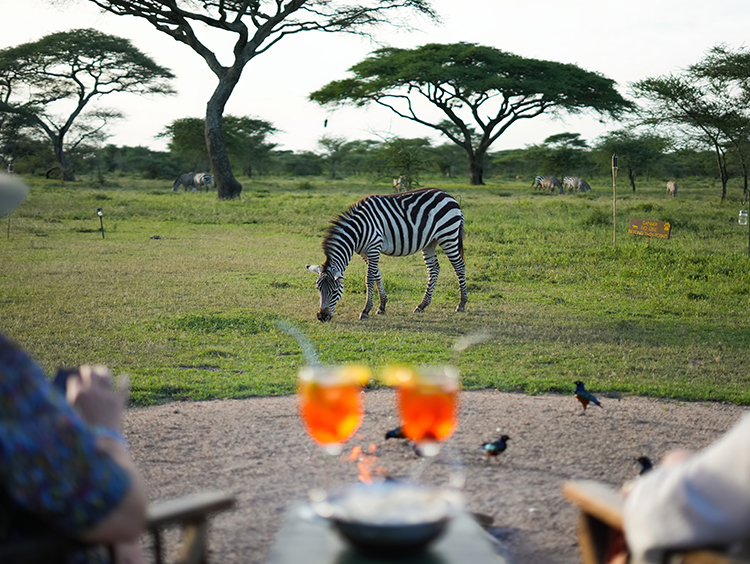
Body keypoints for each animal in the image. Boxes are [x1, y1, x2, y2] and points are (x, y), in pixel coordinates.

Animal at [306, 187, 464, 322]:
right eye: (318, 289)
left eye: (334, 291)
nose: (322, 317)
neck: (358, 231)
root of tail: (449, 196)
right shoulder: (365, 252)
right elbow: (377, 275)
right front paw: (382, 306)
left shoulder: (374, 247)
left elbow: (369, 278)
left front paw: (366, 310)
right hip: (430, 242)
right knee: (434, 269)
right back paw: (422, 305)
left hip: (448, 235)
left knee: (459, 266)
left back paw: (461, 304)